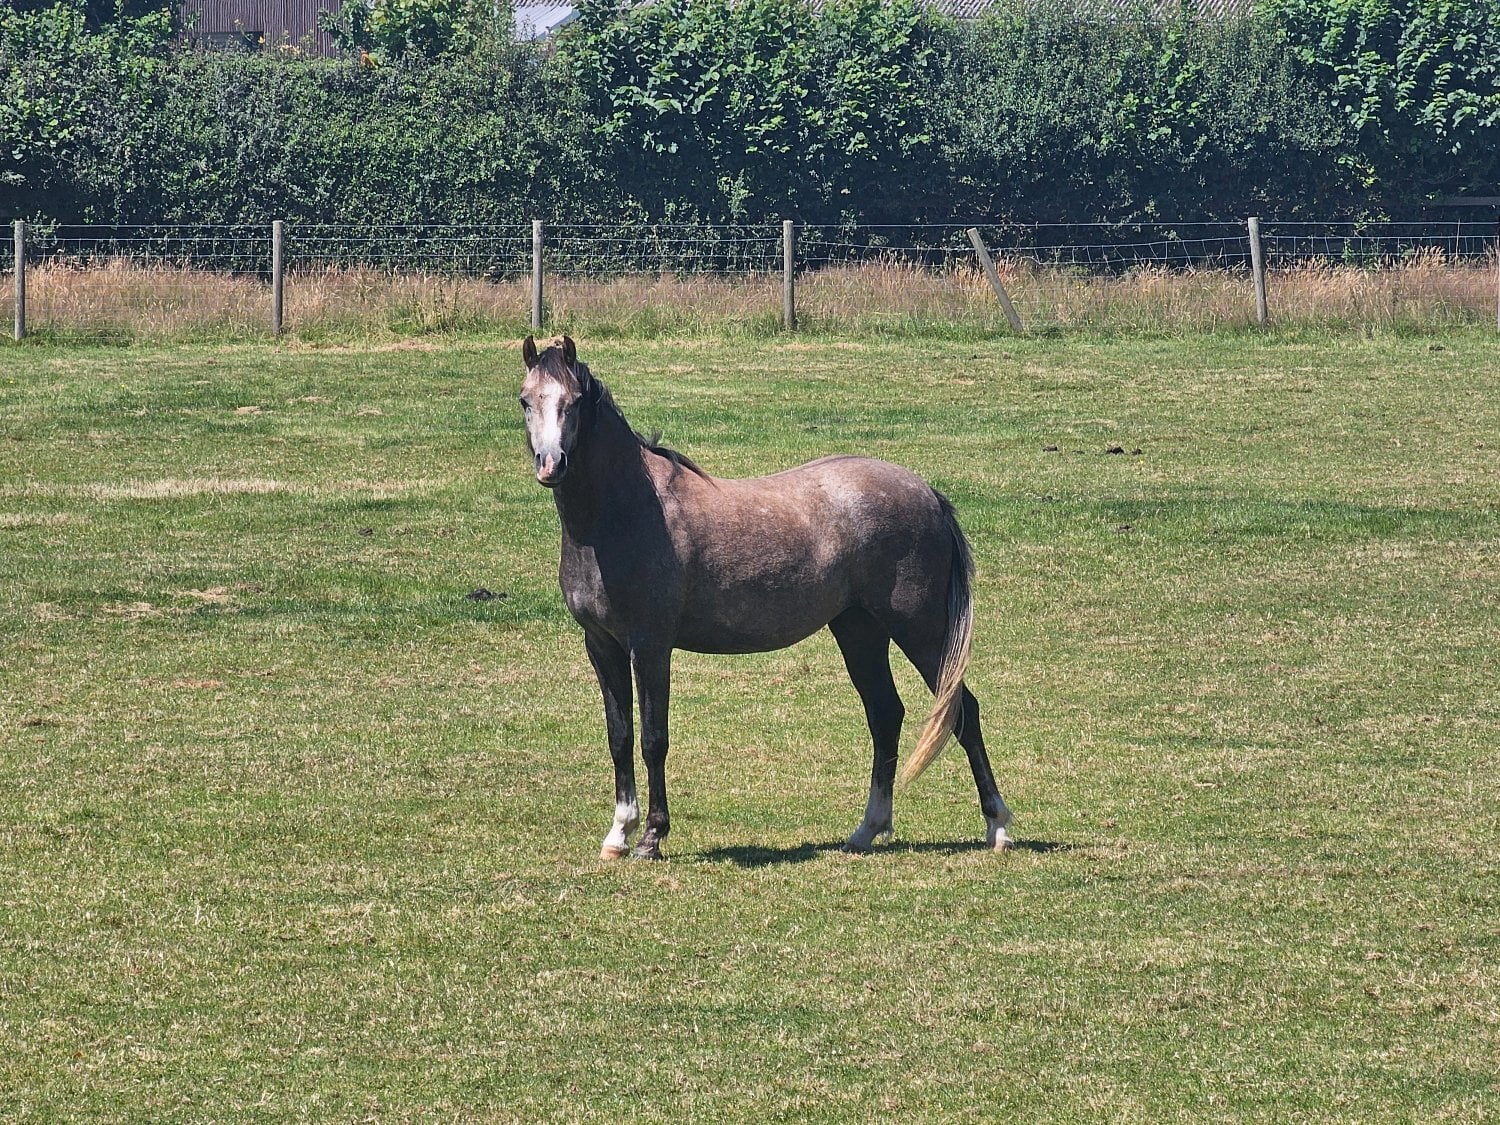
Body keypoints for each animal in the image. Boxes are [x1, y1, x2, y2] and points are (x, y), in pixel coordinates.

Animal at [519, 335, 1013, 859]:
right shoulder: (602, 646)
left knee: (962, 710)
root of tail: (927, 493)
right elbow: (620, 736)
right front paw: (618, 833)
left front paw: (651, 837)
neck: (621, 512)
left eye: (573, 401)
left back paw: (998, 827)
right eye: (526, 400)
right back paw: (867, 829)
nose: (551, 465)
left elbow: (654, 738)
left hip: (920, 629)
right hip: (860, 629)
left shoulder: (650, 647)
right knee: (885, 714)